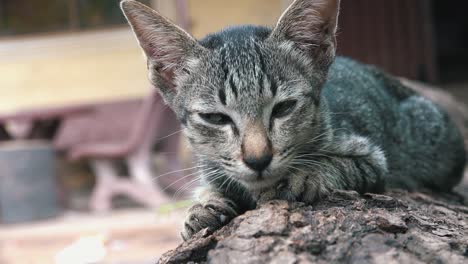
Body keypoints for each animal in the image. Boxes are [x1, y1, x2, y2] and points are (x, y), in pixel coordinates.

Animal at [119, 0, 464, 240]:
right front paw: (204, 205)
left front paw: (301, 176)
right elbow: (212, 184)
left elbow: (338, 164)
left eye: (284, 108)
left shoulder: (371, 158)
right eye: (215, 117)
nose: (258, 159)